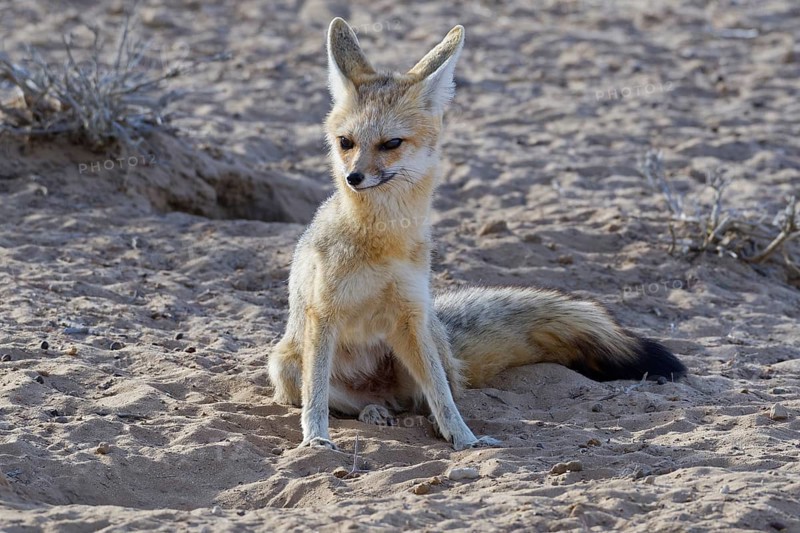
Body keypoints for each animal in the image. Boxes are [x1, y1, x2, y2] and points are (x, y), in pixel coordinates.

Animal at [267, 18, 687, 451]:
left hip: (427, 340)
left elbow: (442, 396)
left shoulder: (410, 315)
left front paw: (465, 439)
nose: (353, 177)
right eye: (346, 143)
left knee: (429, 397)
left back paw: (414, 419)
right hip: (286, 366)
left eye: (391, 143)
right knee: (358, 403)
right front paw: (315, 439)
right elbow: (316, 395)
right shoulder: (323, 315)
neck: (383, 240)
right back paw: (373, 412)